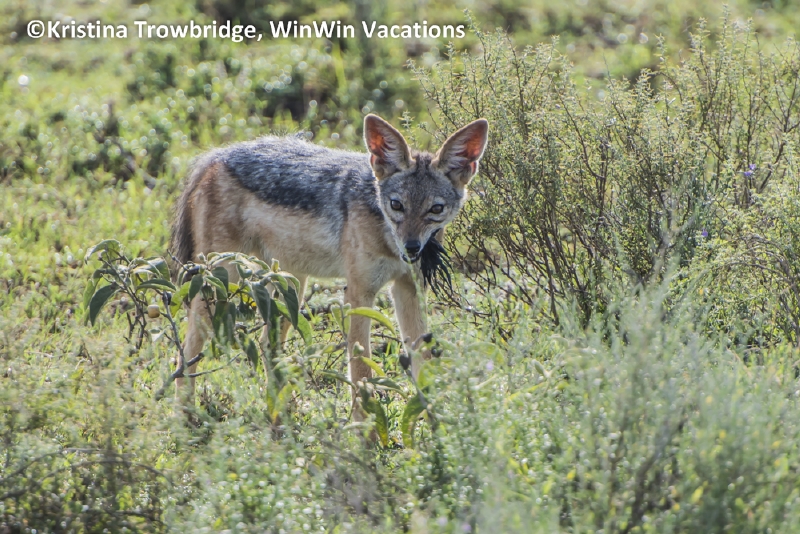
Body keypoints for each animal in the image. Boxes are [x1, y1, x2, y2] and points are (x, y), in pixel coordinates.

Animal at [170, 113, 488, 412]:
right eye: (397, 205)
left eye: (435, 209)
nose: (412, 248)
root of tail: (217, 154)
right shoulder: (358, 294)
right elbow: (361, 374)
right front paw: (366, 432)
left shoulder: (408, 289)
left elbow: (423, 362)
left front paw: (434, 423)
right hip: (221, 287)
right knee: (185, 354)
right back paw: (187, 419)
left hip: (288, 290)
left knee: (266, 346)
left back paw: (281, 417)